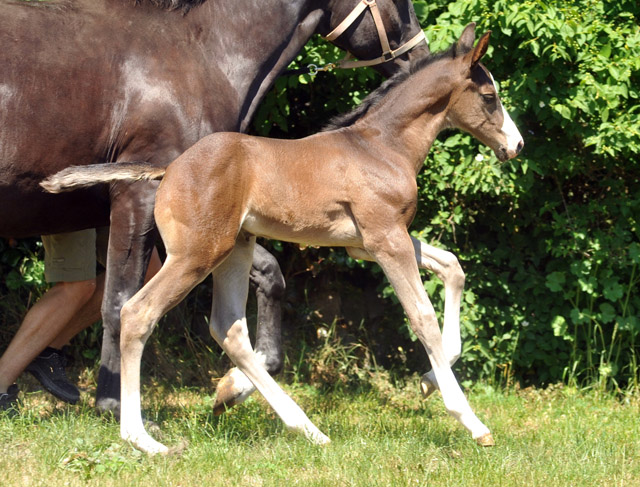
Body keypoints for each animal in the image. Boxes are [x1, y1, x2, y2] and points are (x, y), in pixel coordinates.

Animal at [1, 0, 430, 412]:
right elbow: (120, 301)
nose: (421, 56)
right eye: (399, 1)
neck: (200, 55)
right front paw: (113, 405)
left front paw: (239, 383)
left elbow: (270, 275)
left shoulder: (210, 222)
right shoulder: (136, 196)